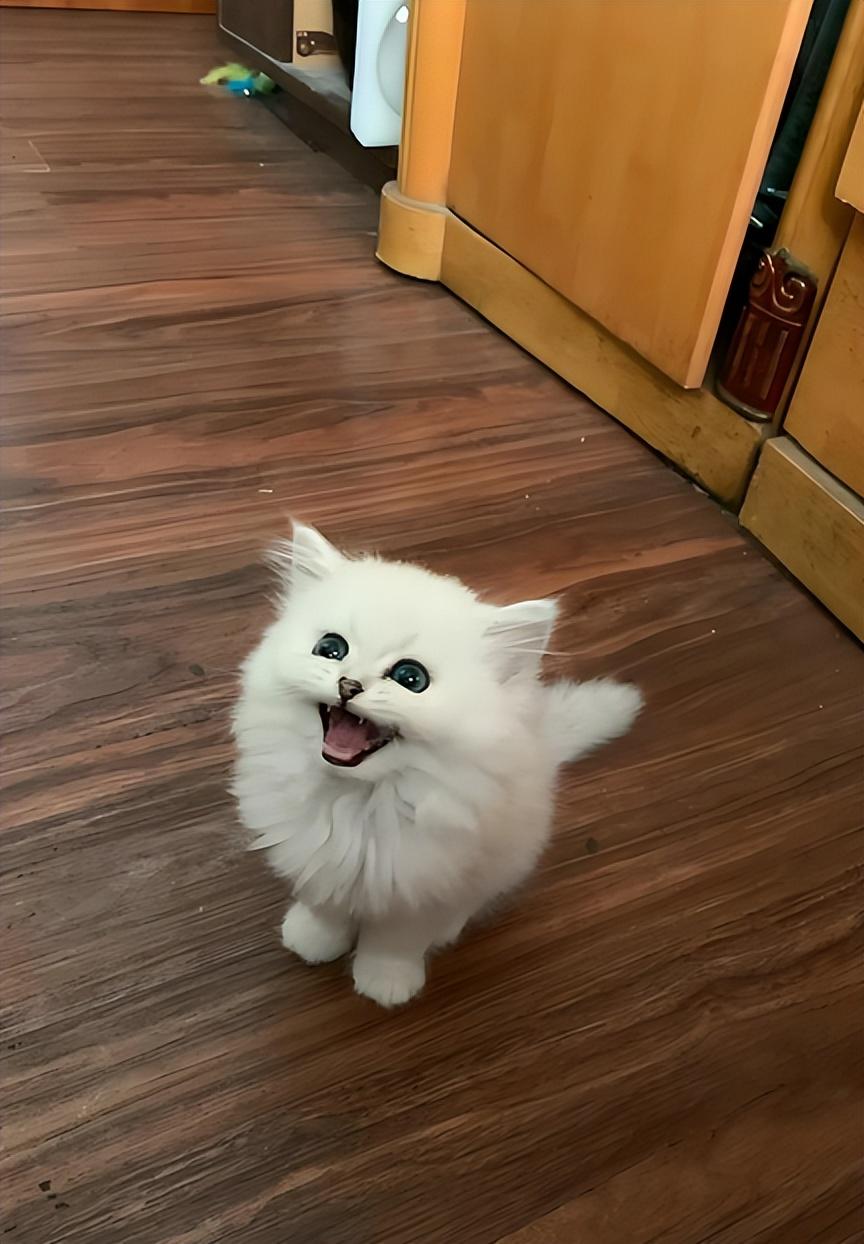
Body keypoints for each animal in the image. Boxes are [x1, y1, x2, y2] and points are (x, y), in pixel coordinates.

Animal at [232, 522, 642, 1008]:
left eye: (411, 679)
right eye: (330, 649)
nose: (348, 685)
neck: (361, 802)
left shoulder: (423, 891)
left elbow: (395, 943)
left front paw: (386, 984)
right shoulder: (316, 859)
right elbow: (325, 907)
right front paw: (313, 941)